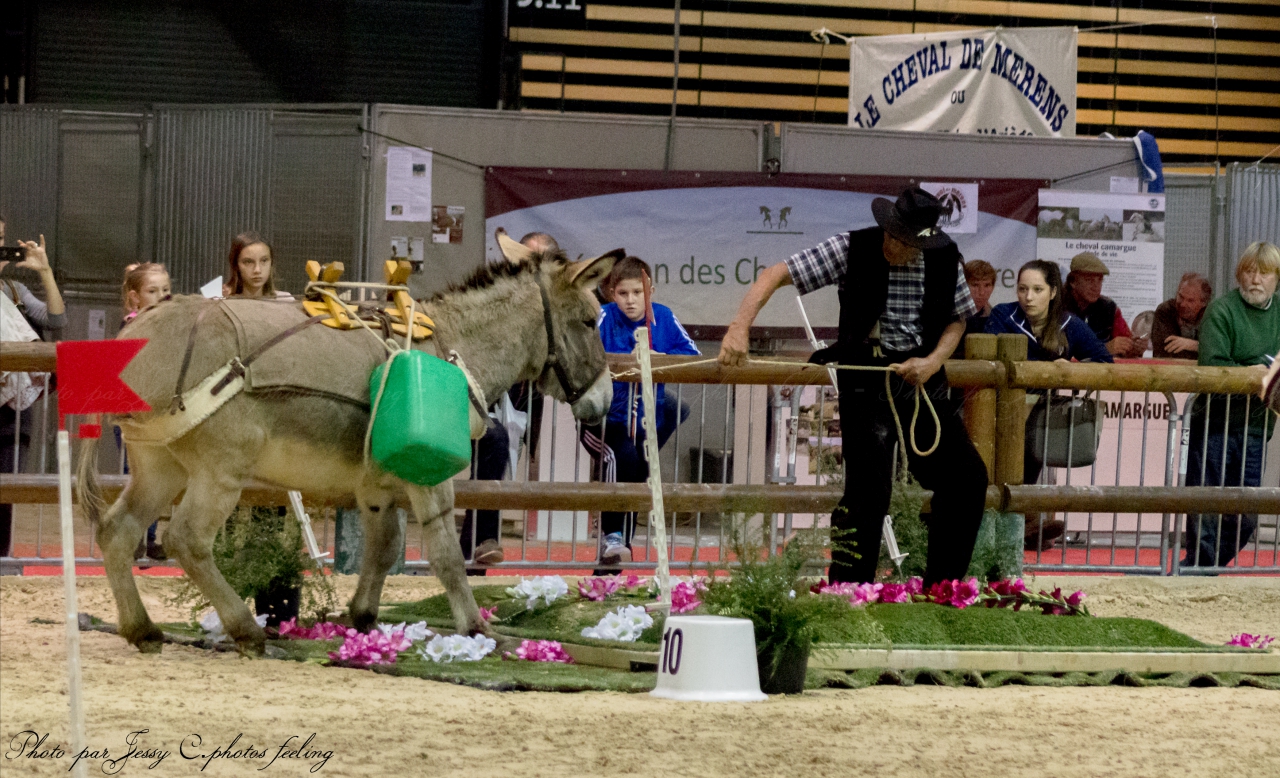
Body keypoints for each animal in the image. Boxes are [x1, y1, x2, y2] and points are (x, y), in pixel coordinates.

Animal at [77, 233, 620, 655]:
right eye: (589, 320)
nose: (606, 399)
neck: (451, 345)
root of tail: (139, 333)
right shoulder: (431, 476)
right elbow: (445, 553)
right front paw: (475, 629)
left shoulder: (376, 486)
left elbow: (383, 549)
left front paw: (362, 617)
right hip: (219, 471)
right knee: (186, 539)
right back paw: (247, 630)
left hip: (158, 464)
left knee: (118, 531)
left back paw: (143, 630)